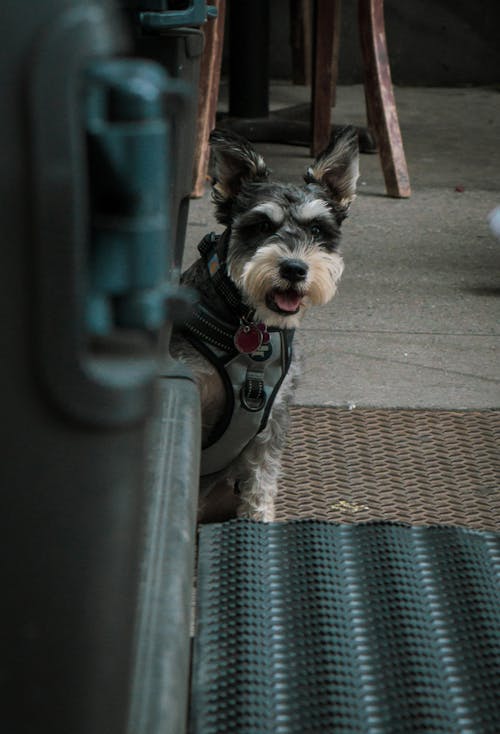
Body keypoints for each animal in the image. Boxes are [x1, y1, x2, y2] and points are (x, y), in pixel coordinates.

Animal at [172, 128, 360, 524]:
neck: (249, 326)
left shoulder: (272, 421)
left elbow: (261, 482)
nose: (294, 268)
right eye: (259, 226)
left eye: (317, 228)